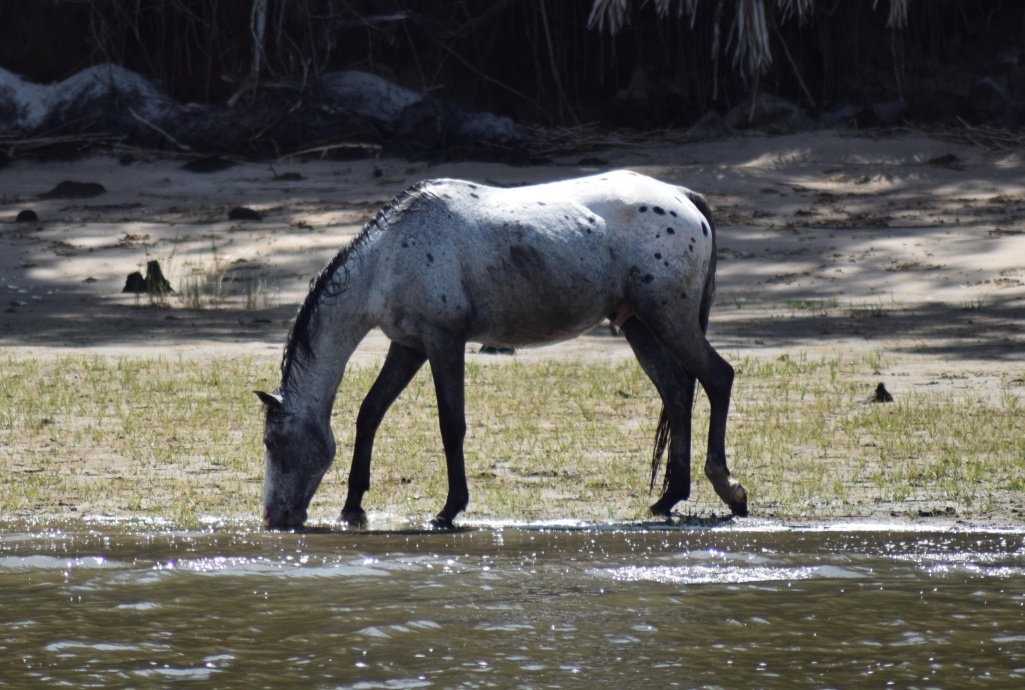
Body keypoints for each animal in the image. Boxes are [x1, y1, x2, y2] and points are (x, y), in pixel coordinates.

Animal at [255, 170, 748, 529]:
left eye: (272, 442)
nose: (274, 517)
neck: (389, 259)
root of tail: (682, 196)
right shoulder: (408, 345)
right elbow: (370, 413)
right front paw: (353, 506)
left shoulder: (444, 341)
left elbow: (451, 425)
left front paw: (449, 509)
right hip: (638, 325)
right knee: (678, 392)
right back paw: (669, 497)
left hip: (668, 319)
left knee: (717, 377)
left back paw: (729, 489)